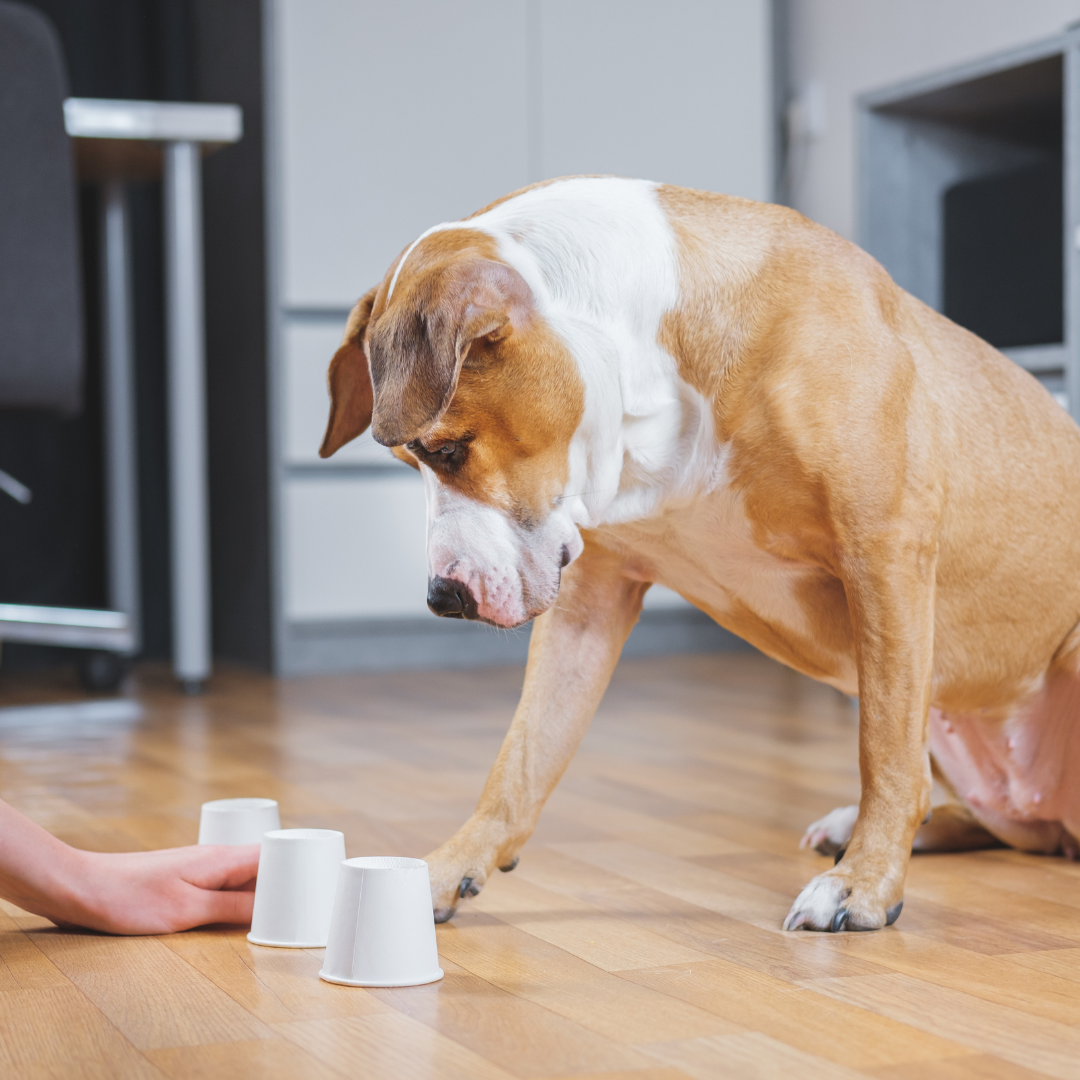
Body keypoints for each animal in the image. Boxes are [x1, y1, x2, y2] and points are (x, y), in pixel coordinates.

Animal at [317, 174, 1080, 928]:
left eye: (447, 449)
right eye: (410, 461)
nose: (442, 597)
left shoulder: (884, 554)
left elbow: (885, 745)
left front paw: (863, 885)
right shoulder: (590, 604)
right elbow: (523, 756)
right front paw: (448, 869)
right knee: (1000, 822)